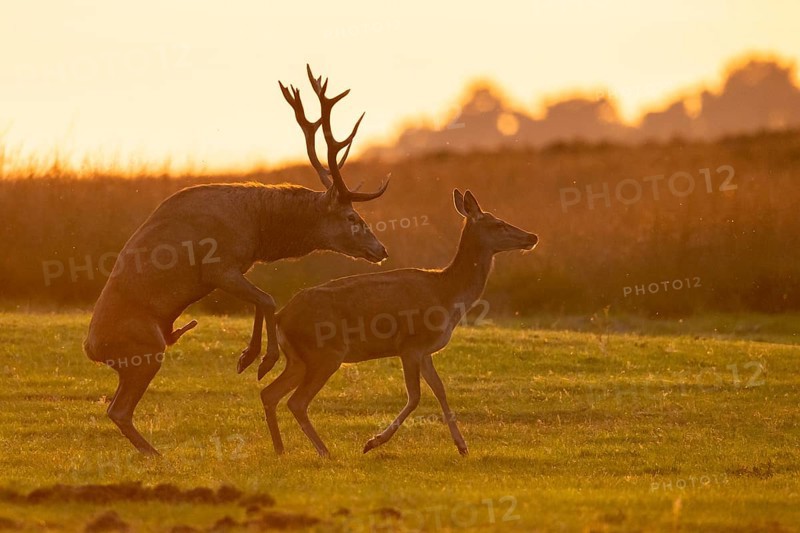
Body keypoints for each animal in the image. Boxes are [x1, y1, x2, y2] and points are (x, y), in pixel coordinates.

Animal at [83, 65, 390, 455]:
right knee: (119, 409)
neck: (258, 227)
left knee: (116, 408)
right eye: (351, 217)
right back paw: (156, 454)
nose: (380, 250)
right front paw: (261, 360)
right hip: (146, 349)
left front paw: (249, 356)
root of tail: (92, 350)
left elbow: (260, 301)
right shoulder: (218, 265)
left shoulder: (237, 268)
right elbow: (268, 298)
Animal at [259, 189, 538, 457]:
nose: (532, 236)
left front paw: (462, 446)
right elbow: (415, 397)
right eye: (498, 223)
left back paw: (280, 450)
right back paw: (324, 451)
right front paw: (372, 442)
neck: (447, 294)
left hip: (299, 359)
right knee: (296, 401)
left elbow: (440, 390)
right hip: (325, 354)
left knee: (269, 393)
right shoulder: (410, 345)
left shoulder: (426, 351)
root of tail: (281, 316)